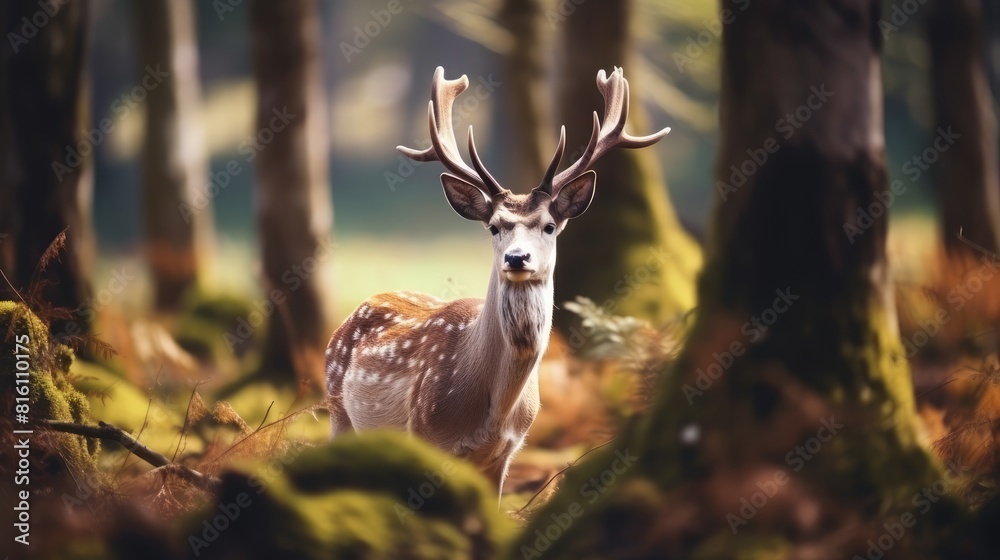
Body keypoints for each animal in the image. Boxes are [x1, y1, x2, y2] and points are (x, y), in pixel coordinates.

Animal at [325, 66, 670, 496]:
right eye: (494, 227)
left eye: (550, 225)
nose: (517, 257)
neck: (495, 412)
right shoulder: (426, 434)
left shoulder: (505, 454)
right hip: (337, 410)